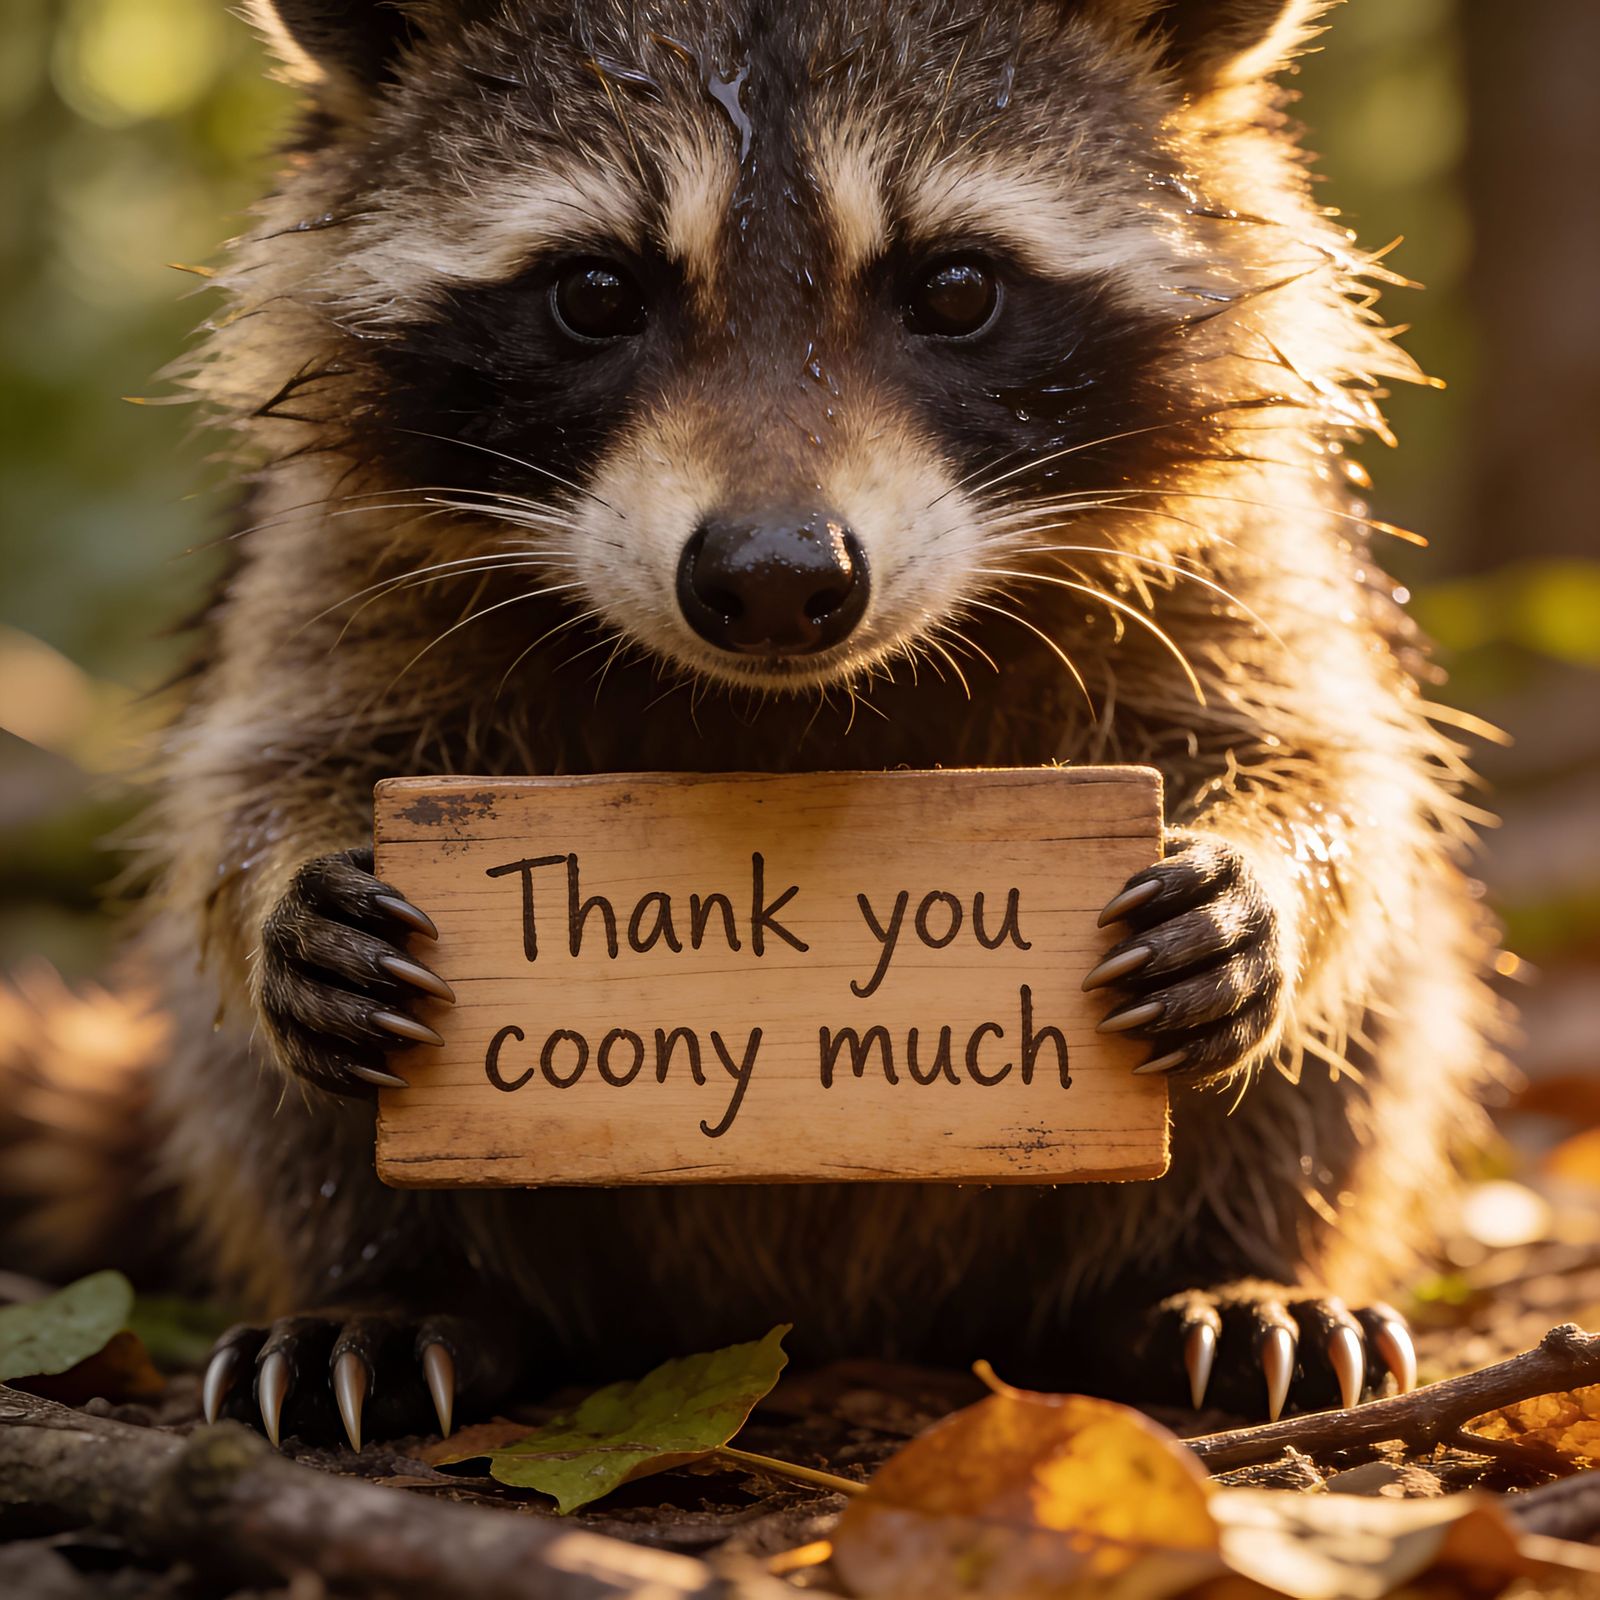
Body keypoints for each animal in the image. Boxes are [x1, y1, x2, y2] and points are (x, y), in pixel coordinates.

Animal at [128, 0, 1501, 1448]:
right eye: (594, 294)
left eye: (955, 289)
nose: (777, 579)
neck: (787, 704)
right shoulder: (332, 554)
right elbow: (266, 763)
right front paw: (288, 894)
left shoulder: (1244, 547)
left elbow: (1327, 758)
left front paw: (1264, 876)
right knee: (265, 1101)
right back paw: (400, 1286)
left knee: (1371, 1025)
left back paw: (1219, 1269)